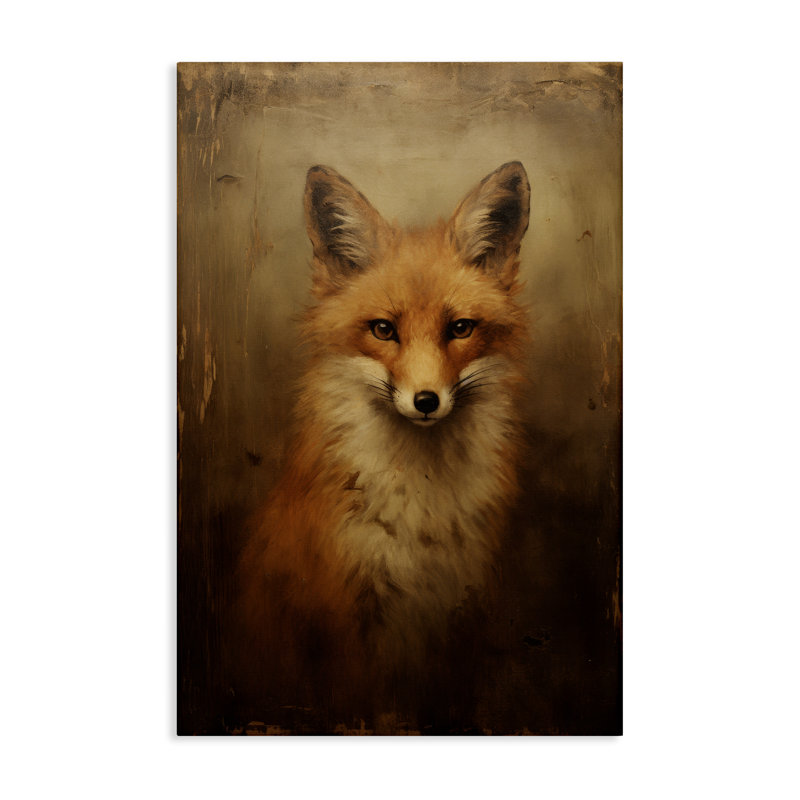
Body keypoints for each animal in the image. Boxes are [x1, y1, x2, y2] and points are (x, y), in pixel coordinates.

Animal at [236, 161, 531, 727]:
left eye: (460, 328)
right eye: (383, 330)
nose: (426, 401)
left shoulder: (460, 608)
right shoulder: (345, 614)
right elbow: (365, 712)